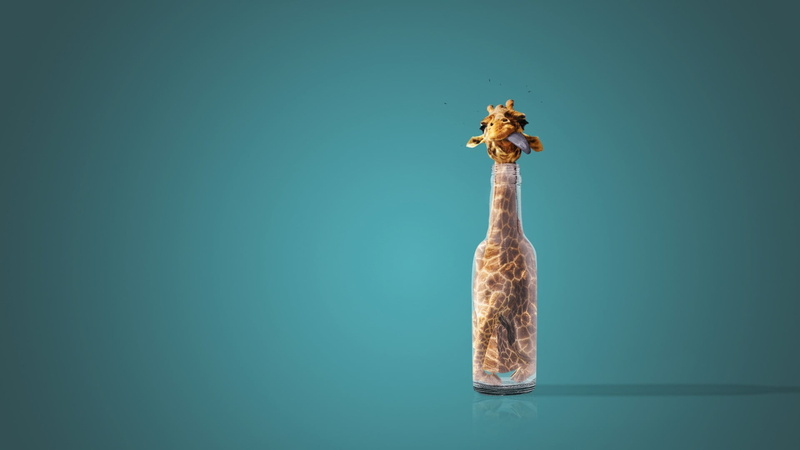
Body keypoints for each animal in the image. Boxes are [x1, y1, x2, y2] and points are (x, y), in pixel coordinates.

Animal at [466, 99, 541, 390]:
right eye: (483, 125)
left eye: (523, 120)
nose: (506, 127)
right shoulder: (484, 299)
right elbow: (481, 337)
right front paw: (486, 379)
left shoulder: (502, 297)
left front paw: (502, 378)